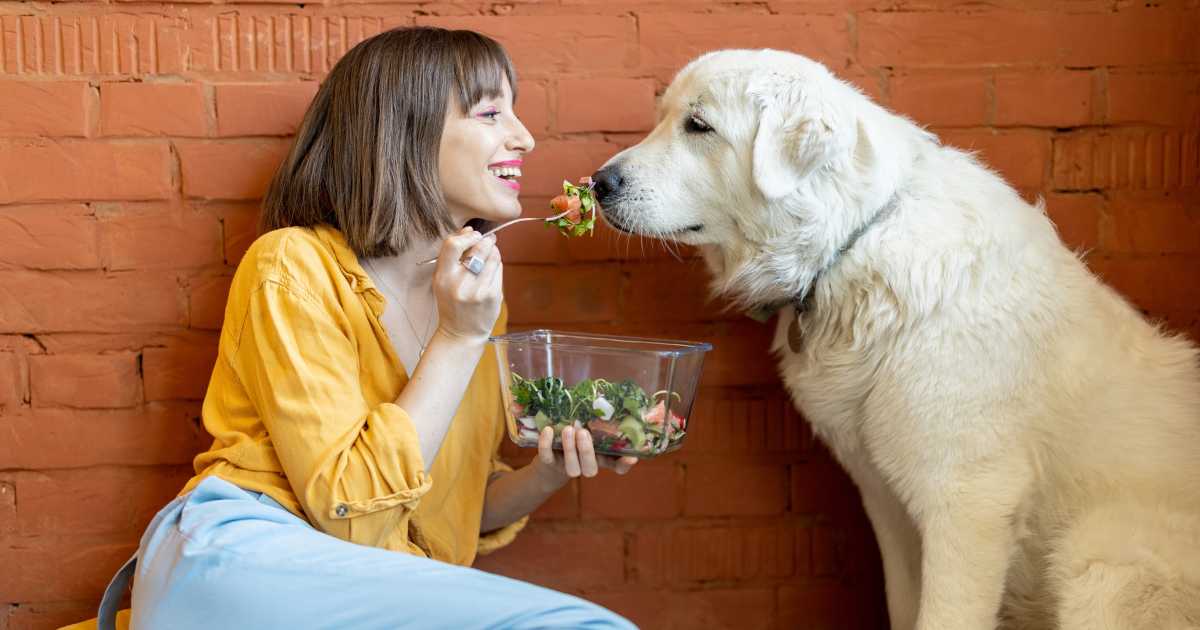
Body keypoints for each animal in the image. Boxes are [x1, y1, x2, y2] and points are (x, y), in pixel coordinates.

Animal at [590, 50, 1200, 628]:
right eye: (663, 118)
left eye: (698, 126)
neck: (851, 243)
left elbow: (945, 615)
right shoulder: (888, 501)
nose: (599, 183)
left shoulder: (969, 502)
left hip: (1097, 559)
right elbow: (906, 607)